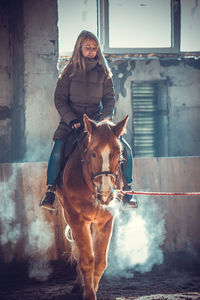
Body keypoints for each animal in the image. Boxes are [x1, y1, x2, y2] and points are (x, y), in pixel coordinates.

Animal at [57, 113, 129, 298]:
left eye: (118, 153)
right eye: (93, 153)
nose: (105, 194)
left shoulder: (105, 222)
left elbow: (100, 262)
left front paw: (92, 289)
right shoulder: (77, 221)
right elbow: (87, 260)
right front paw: (89, 293)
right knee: (78, 249)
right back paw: (79, 284)